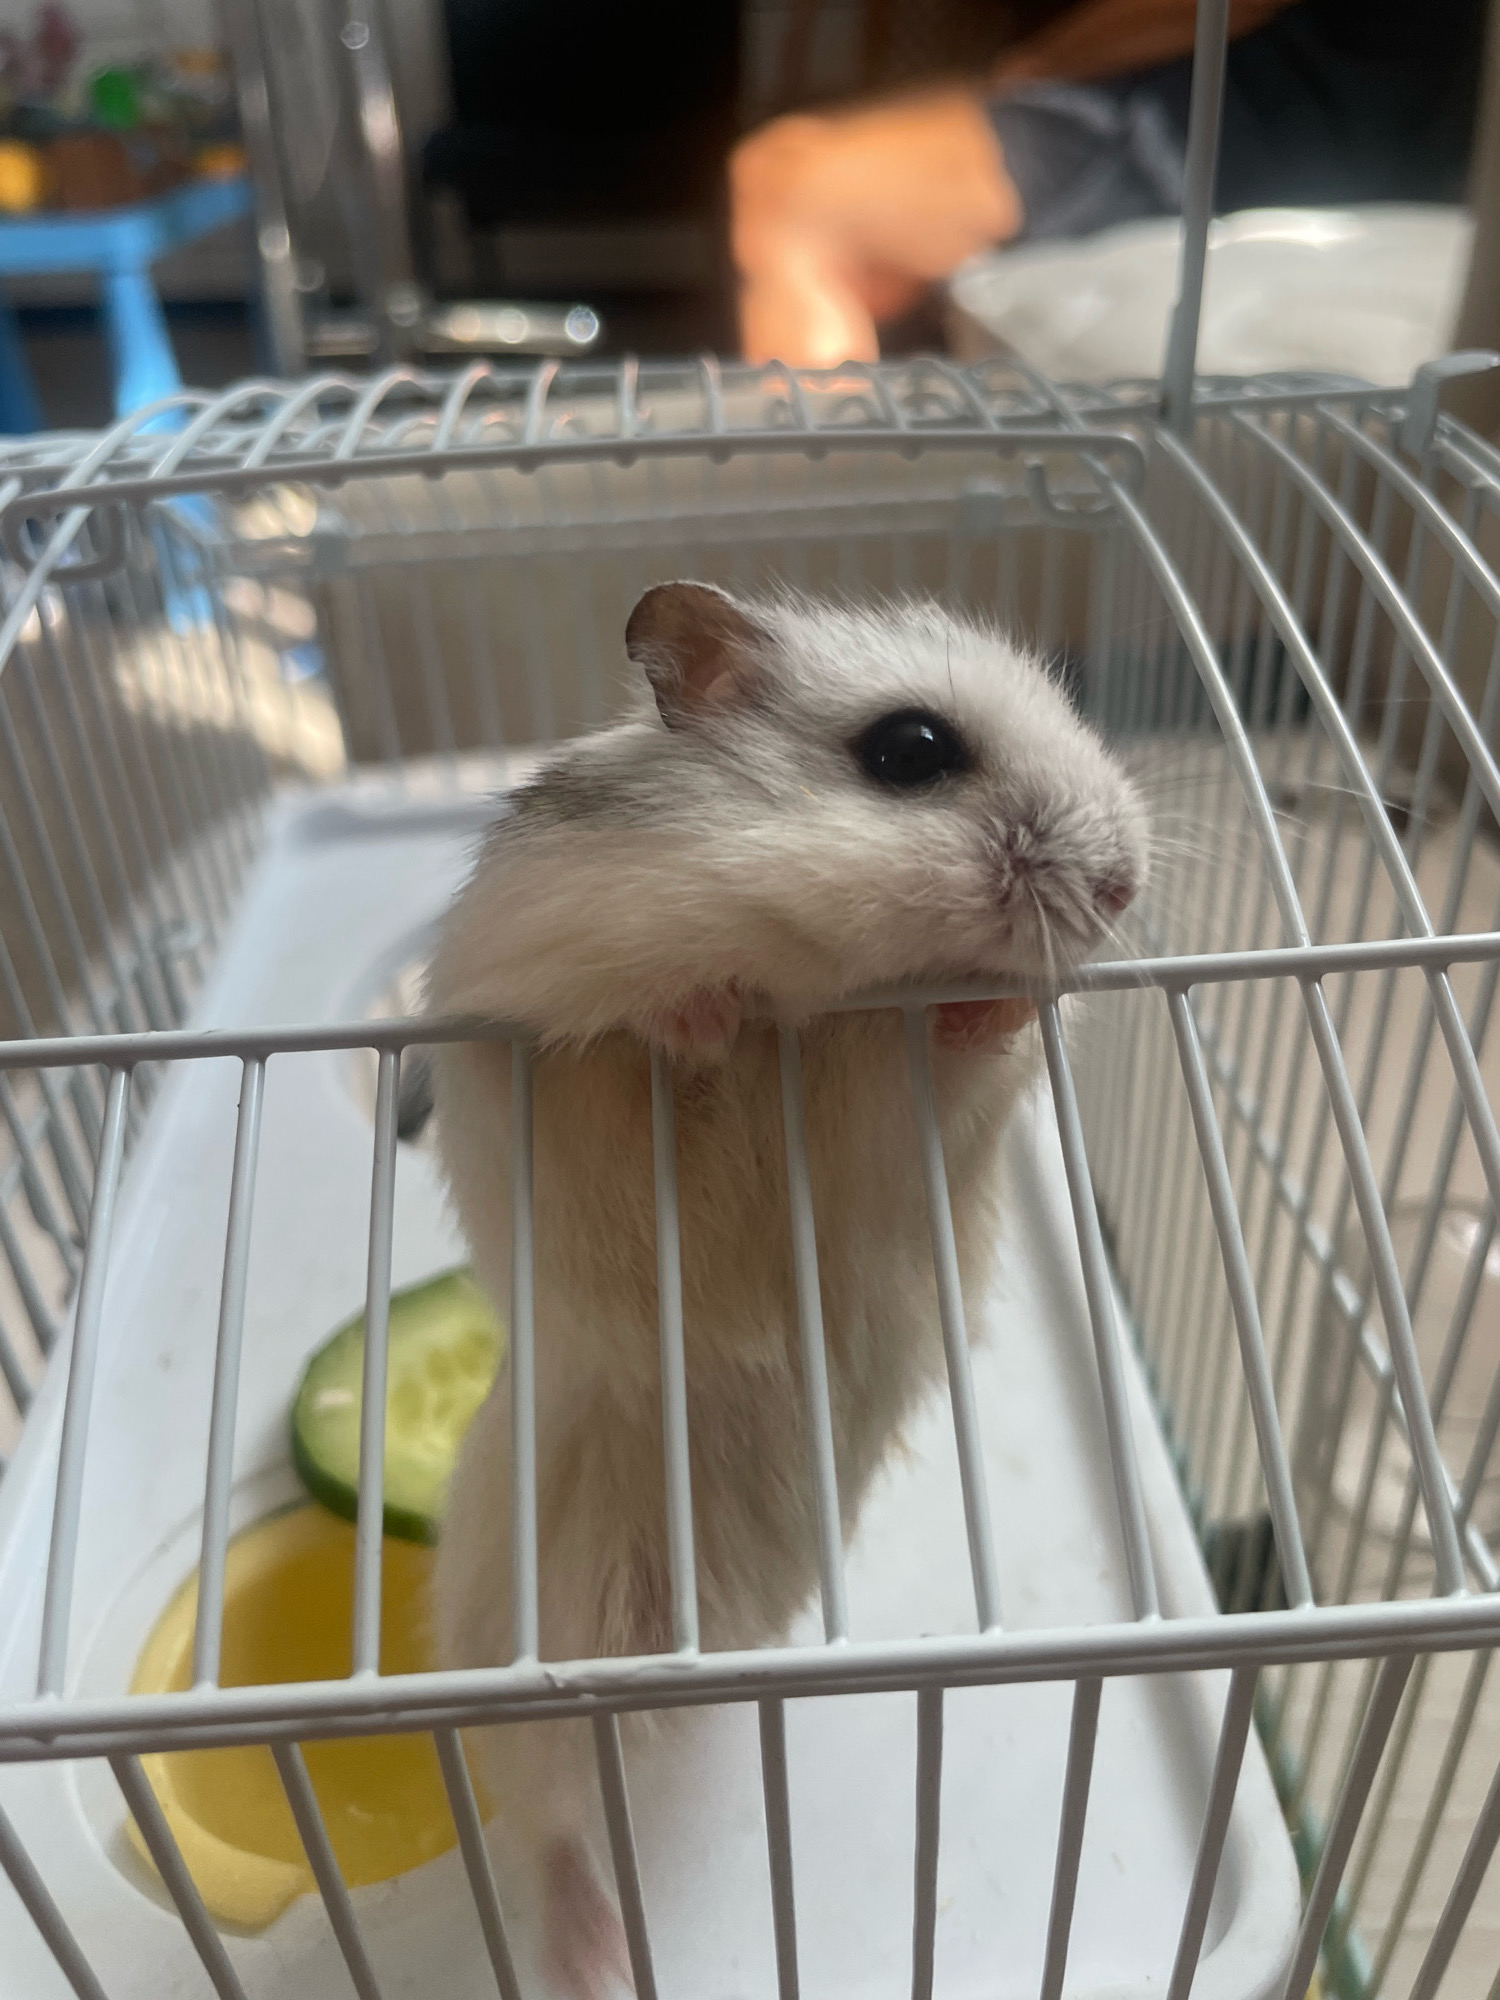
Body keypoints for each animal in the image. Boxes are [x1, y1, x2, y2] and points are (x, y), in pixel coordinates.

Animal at [426, 582, 1148, 1999]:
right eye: (911, 750)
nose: (1124, 882)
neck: (827, 987)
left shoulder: (926, 1113)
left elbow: (971, 1055)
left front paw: (980, 1006)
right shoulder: (522, 1032)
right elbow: (641, 1049)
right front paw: (702, 1012)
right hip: (541, 1635)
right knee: (550, 1818)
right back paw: (600, 1958)